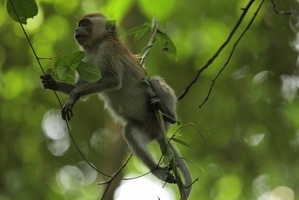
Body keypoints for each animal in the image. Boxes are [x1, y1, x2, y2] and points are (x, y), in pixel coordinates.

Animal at [40, 12, 192, 198]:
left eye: (85, 23)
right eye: (79, 24)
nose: (76, 30)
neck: (96, 46)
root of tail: (158, 132)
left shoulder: (108, 49)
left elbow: (113, 80)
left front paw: (74, 96)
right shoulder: (86, 59)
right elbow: (80, 87)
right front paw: (53, 83)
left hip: (161, 120)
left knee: (155, 80)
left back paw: (168, 113)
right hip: (145, 129)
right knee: (129, 131)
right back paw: (158, 171)